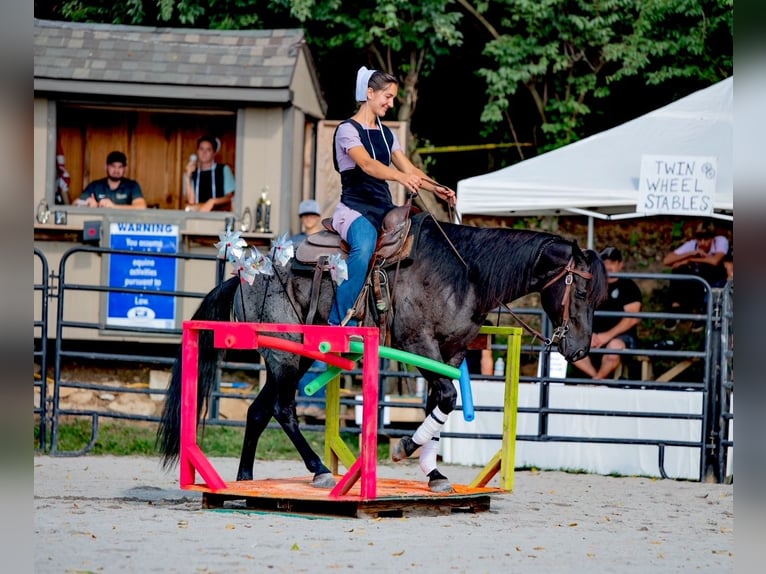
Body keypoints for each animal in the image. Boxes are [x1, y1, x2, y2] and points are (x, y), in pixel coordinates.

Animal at [159, 216, 608, 496]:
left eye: (597, 296)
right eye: (583, 291)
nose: (581, 349)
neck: (464, 274)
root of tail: (245, 275)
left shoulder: (449, 353)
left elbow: (439, 405)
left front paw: (434, 474)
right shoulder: (417, 344)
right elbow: (446, 399)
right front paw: (404, 448)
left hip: (295, 359)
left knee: (258, 410)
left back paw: (244, 479)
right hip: (283, 355)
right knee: (283, 409)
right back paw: (319, 471)